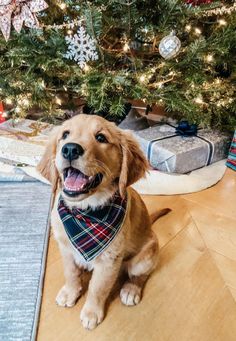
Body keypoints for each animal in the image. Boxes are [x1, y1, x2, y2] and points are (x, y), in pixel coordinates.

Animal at [37, 114, 164, 330]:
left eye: (101, 138)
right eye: (65, 134)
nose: (70, 149)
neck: (85, 212)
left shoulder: (108, 261)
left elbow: (97, 288)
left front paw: (91, 313)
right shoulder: (65, 249)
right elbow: (70, 273)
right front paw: (70, 292)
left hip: (144, 258)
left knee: (141, 275)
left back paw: (131, 289)